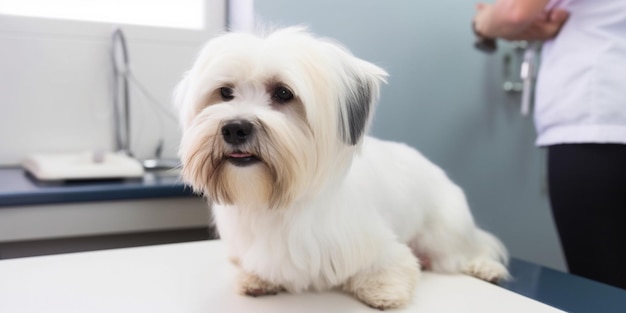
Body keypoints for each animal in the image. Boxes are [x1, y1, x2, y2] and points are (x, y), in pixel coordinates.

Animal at [174, 27, 508, 310]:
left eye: (283, 93)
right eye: (225, 92)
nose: (234, 128)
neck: (279, 203)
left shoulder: (377, 244)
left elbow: (393, 265)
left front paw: (383, 288)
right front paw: (258, 278)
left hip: (444, 233)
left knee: (471, 249)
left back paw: (485, 267)